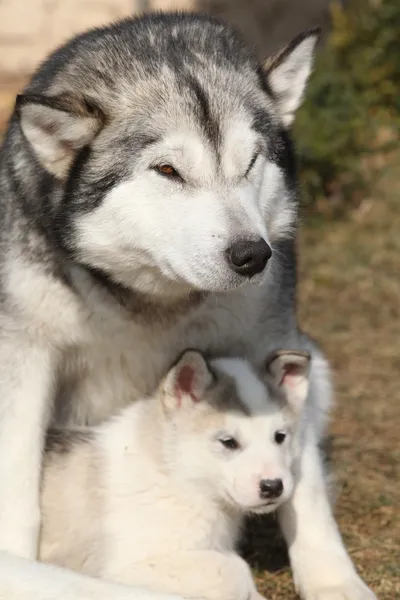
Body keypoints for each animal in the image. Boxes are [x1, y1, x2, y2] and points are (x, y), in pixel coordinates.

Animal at [40, 350, 308, 600]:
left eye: (280, 437)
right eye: (228, 442)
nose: (273, 486)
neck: (176, 474)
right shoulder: (126, 567)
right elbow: (234, 568)